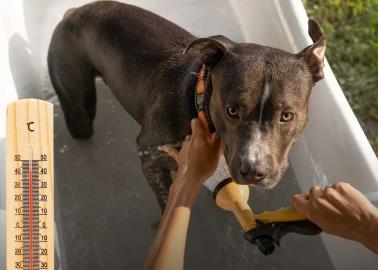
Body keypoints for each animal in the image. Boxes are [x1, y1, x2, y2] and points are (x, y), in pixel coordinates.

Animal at [47, 1, 324, 212]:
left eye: (286, 115)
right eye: (232, 111)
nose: (254, 170)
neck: (197, 102)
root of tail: (74, 12)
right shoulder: (150, 158)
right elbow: (167, 201)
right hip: (77, 107)